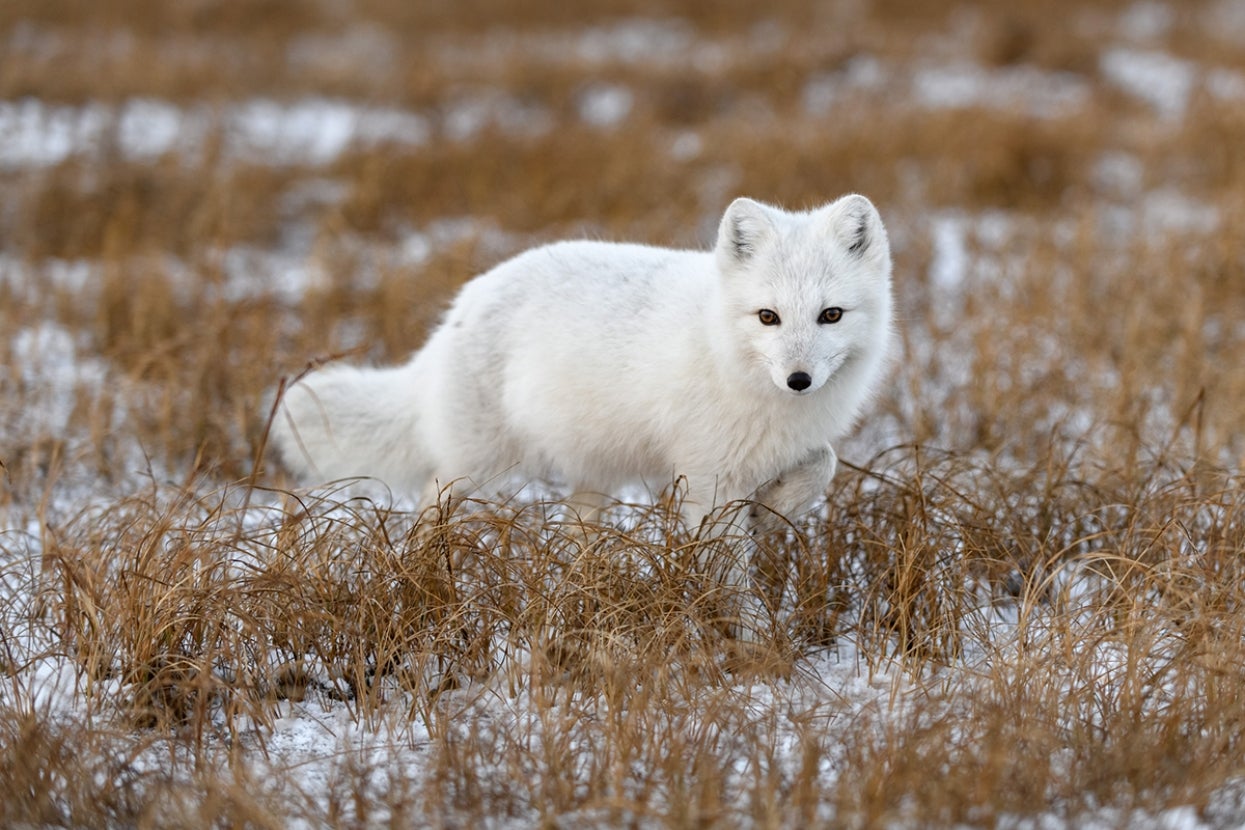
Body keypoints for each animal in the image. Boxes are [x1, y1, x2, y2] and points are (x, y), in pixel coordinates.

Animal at [271, 195, 894, 629]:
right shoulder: (707, 479)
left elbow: (822, 464)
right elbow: (731, 574)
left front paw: (770, 513)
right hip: (476, 467)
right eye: (768, 317)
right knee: (429, 512)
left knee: (574, 536)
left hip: (590, 479)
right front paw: (757, 642)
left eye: (831, 315)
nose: (799, 380)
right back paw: (421, 584)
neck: (726, 352)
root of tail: (463, 303)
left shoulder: (781, 452)